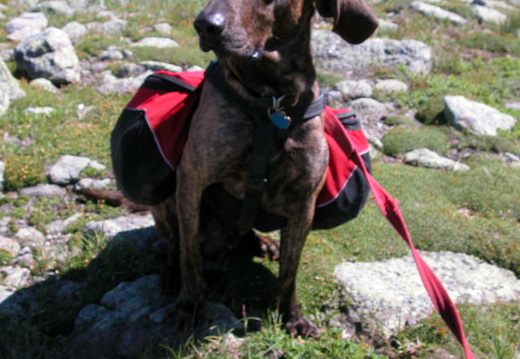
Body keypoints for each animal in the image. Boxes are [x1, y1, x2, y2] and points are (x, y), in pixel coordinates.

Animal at [150, 0, 378, 338]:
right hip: (168, 200)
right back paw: (171, 273)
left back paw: (262, 242)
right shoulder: (192, 180)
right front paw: (188, 306)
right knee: (174, 242)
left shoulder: (303, 205)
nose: (204, 25)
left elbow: (289, 273)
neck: (272, 100)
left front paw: (291, 316)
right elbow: (190, 259)